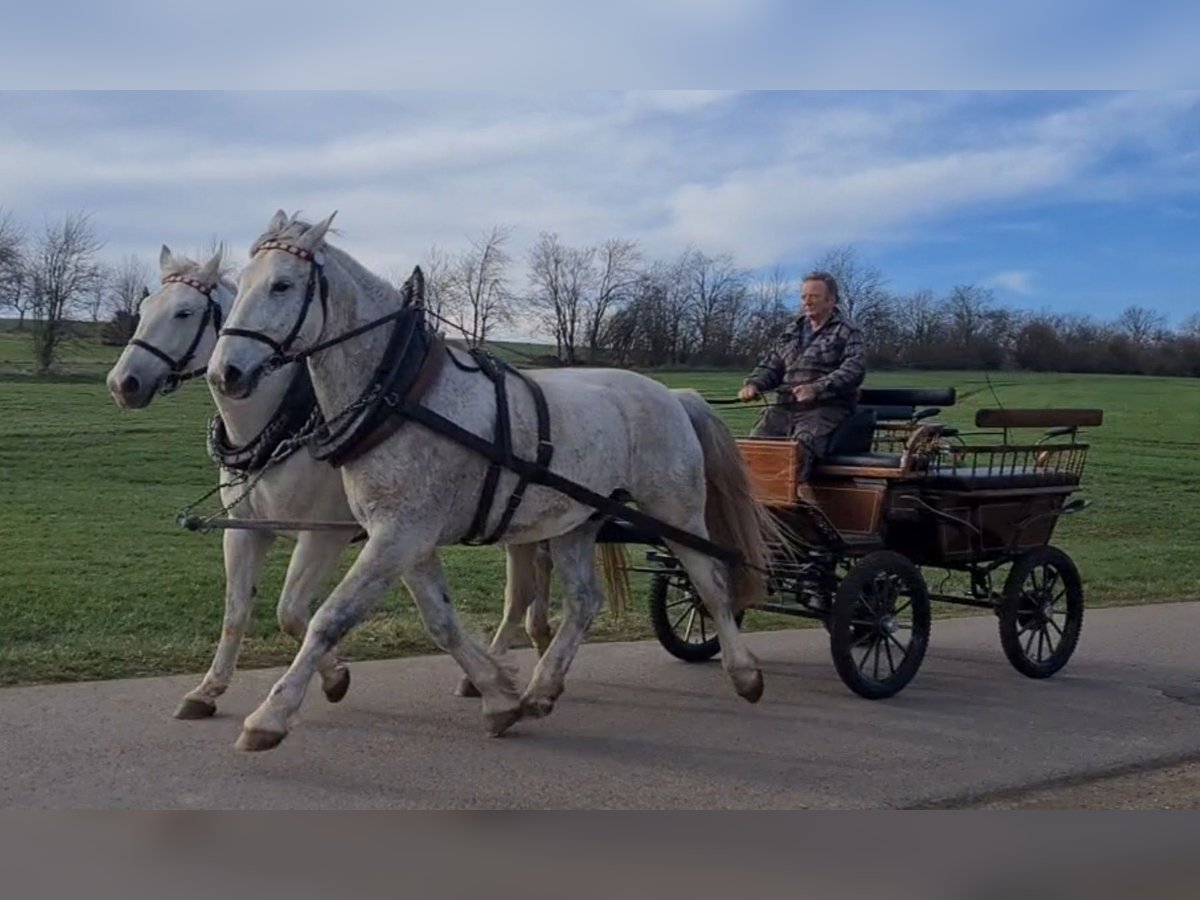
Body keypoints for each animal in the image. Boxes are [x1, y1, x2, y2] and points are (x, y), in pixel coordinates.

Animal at [106, 243, 561, 715]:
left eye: (185, 312)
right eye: (145, 309)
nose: (123, 383)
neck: (279, 423)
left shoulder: (326, 533)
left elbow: (291, 613)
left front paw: (333, 677)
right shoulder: (246, 529)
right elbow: (236, 612)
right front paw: (208, 690)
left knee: (521, 593)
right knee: (529, 585)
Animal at [208, 213, 777, 753]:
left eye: (282, 285)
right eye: (241, 283)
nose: (224, 373)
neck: (400, 393)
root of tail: (673, 393)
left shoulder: (398, 535)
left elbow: (331, 617)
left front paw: (270, 715)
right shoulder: (405, 538)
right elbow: (440, 621)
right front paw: (499, 696)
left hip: (675, 509)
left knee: (709, 579)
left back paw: (744, 672)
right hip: (576, 521)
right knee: (584, 601)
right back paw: (542, 689)